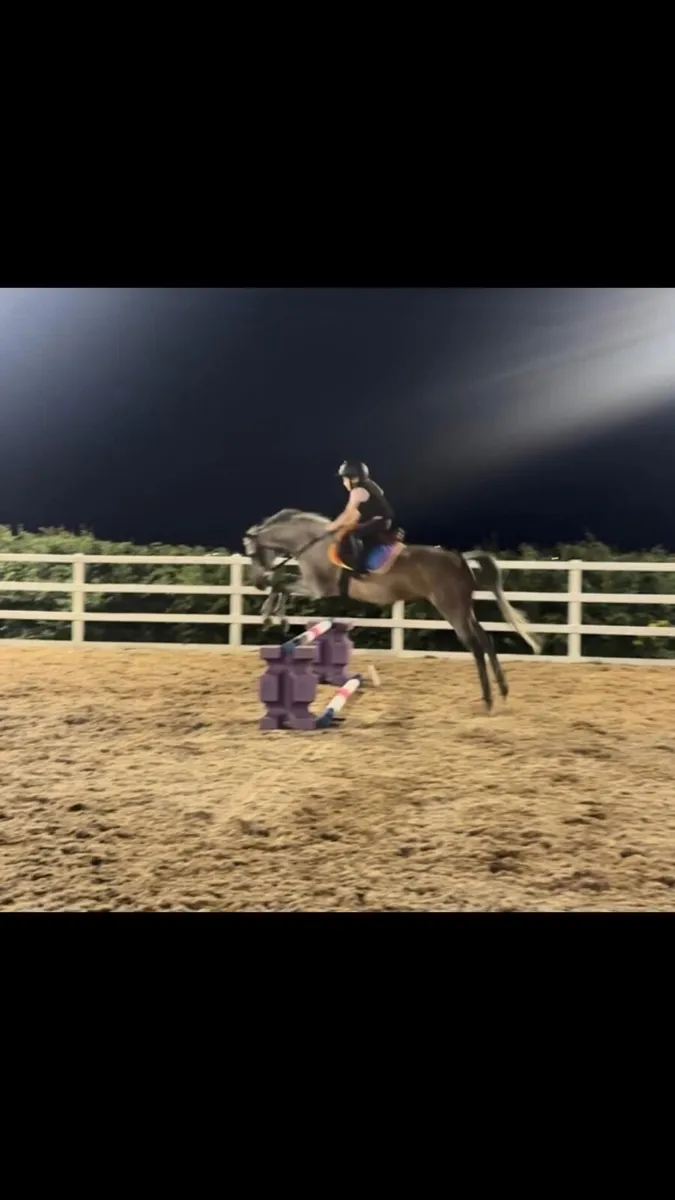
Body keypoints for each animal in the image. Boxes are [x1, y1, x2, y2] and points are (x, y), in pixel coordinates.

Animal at [243, 508, 542, 711]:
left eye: (251, 553)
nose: (256, 582)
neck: (314, 542)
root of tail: (459, 558)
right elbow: (281, 585)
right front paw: (272, 615)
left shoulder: (318, 588)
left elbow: (281, 584)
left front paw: (271, 615)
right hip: (465, 610)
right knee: (486, 639)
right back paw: (503, 691)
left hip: (452, 609)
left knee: (476, 646)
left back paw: (488, 700)